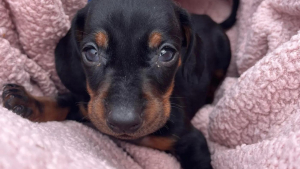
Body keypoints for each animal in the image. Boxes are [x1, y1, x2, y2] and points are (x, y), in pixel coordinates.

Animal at [2, 0, 239, 168]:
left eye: (166, 53)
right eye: (91, 52)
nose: (123, 122)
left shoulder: (193, 142)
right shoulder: (87, 104)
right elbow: (62, 102)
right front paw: (27, 102)